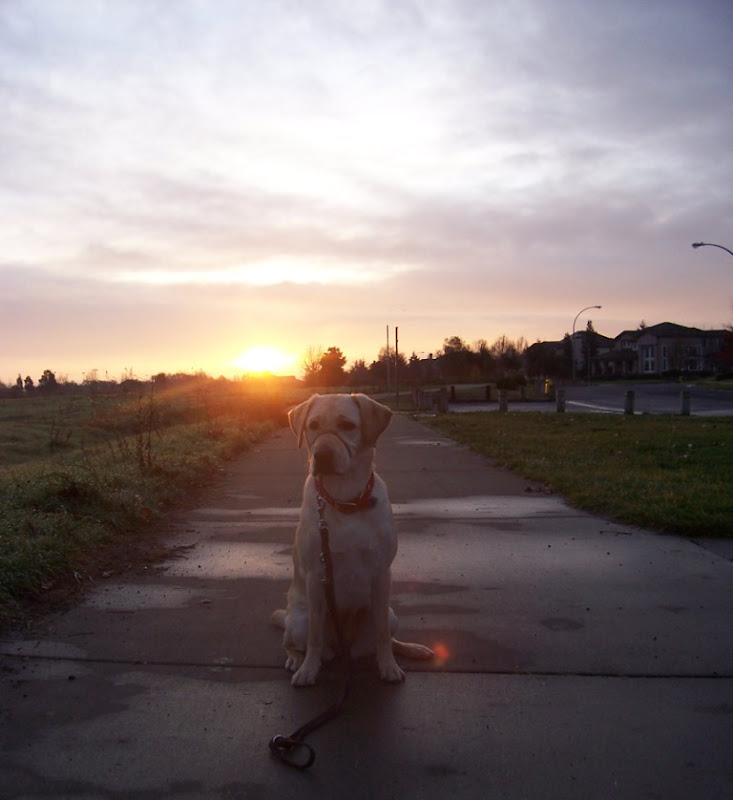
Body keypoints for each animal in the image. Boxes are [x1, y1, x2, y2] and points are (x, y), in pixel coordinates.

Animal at [270, 390, 432, 684]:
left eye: (347, 425)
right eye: (312, 426)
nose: (321, 455)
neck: (346, 499)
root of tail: (344, 648)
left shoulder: (381, 572)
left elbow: (382, 635)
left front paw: (388, 666)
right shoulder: (315, 576)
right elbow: (315, 637)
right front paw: (308, 669)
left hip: (390, 613)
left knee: (386, 637)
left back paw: (411, 649)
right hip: (298, 619)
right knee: (292, 640)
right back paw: (296, 659)